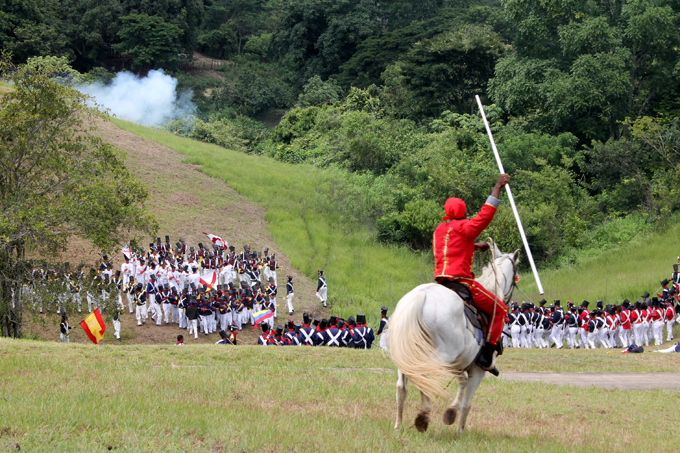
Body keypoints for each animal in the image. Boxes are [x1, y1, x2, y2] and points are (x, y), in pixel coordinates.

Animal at [390, 244, 516, 434]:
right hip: (438, 358)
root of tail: (420, 296)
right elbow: (467, 404)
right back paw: (423, 416)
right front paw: (458, 427)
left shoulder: (460, 366)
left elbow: (461, 383)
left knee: (402, 387)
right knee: (426, 379)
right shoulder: (477, 371)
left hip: (407, 354)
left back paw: (399, 424)